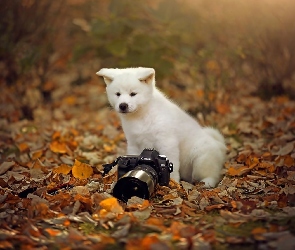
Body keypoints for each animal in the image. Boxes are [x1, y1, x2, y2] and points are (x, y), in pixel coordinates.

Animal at [97, 67, 227, 187]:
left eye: (133, 94)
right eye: (117, 94)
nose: (123, 105)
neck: (141, 115)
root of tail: (219, 144)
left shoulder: (167, 142)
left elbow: (172, 166)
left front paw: (172, 183)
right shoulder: (134, 143)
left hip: (201, 159)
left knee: (211, 175)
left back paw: (207, 183)